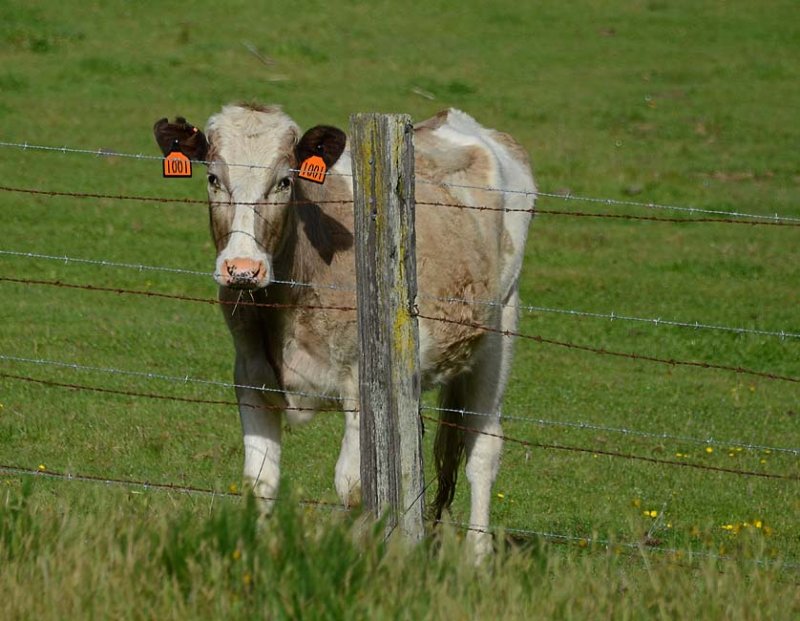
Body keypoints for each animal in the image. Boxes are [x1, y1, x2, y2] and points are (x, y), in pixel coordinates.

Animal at [153, 103, 536, 556]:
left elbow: (353, 488)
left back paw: (476, 556)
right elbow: (260, 481)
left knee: (482, 448)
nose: (242, 269)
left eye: (285, 180)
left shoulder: (360, 386)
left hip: (500, 326)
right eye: (213, 178)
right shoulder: (250, 377)